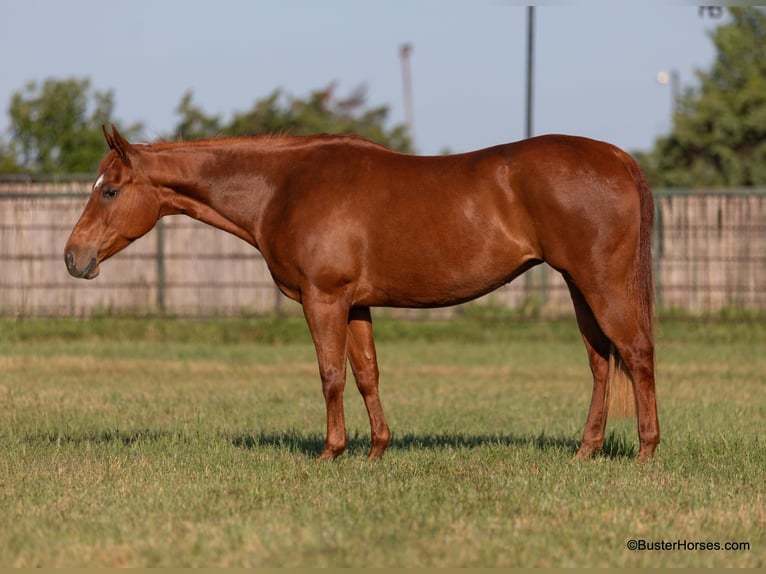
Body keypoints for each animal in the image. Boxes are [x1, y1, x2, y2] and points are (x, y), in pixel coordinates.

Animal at [64, 126, 660, 464]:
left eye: (110, 190)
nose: (73, 257)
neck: (283, 185)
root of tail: (617, 157)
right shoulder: (356, 304)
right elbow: (367, 373)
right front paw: (376, 451)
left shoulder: (323, 298)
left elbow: (330, 374)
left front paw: (331, 453)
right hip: (579, 287)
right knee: (601, 363)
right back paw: (585, 452)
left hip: (599, 283)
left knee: (636, 354)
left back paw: (646, 453)